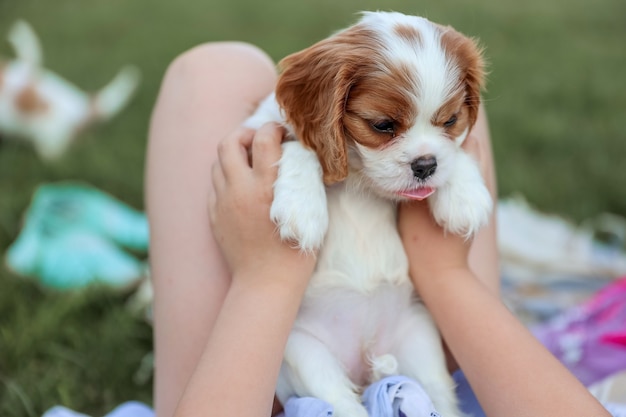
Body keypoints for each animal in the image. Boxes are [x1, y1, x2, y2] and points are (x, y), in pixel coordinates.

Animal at [244, 9, 492, 416]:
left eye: (450, 121)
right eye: (382, 125)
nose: (426, 165)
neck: (360, 178)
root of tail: (366, 363)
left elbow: (457, 153)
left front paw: (464, 195)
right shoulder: (256, 133)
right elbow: (300, 144)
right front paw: (302, 207)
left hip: (418, 339)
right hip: (304, 354)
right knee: (341, 400)